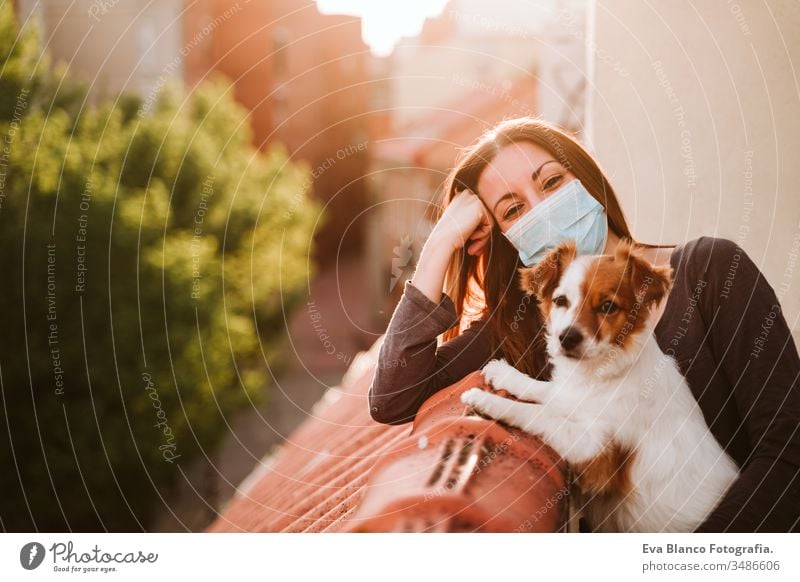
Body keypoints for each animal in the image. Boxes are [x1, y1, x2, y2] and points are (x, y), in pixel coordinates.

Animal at [460, 240, 740, 532]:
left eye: (607, 306)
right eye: (561, 301)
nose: (567, 338)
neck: (600, 374)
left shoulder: (595, 450)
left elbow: (539, 413)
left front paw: (486, 400)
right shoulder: (571, 396)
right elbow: (544, 390)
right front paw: (503, 373)